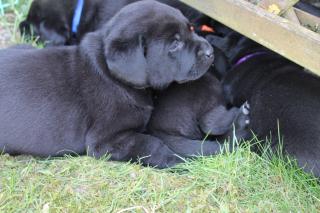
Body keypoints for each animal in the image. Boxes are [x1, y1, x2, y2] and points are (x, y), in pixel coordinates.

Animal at [0, 1, 215, 168]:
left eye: (191, 29)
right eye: (174, 44)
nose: (210, 52)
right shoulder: (105, 140)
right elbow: (151, 143)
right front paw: (177, 160)